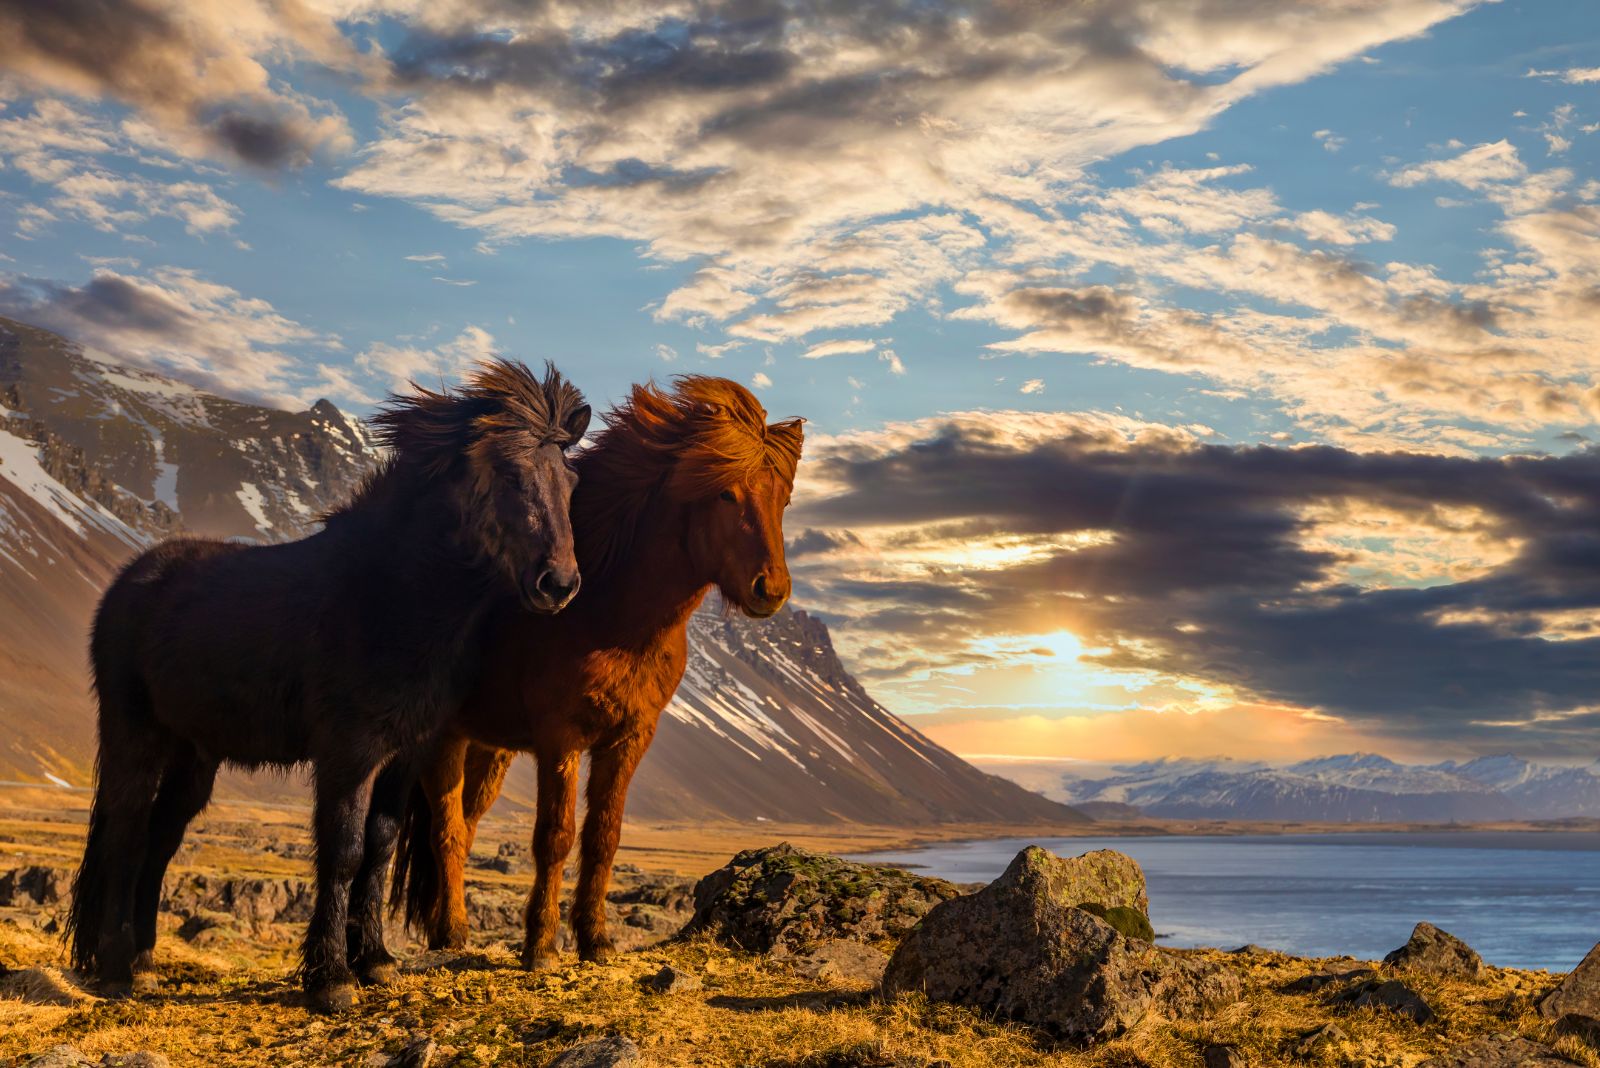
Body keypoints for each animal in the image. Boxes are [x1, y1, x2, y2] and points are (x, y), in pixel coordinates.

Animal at [65, 358, 588, 1010]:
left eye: (570, 483)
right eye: (511, 475)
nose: (559, 585)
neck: (391, 598)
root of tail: (129, 583)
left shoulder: (405, 753)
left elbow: (380, 847)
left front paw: (377, 961)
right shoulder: (349, 752)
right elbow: (343, 852)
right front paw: (332, 977)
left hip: (194, 755)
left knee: (159, 841)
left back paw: (143, 964)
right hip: (134, 733)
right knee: (127, 833)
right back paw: (116, 968)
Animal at [385, 377, 806, 965]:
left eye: (782, 499)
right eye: (725, 493)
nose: (772, 590)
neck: (612, 617)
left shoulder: (630, 737)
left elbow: (604, 836)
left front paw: (596, 940)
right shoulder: (560, 737)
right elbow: (555, 837)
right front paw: (541, 945)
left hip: (489, 749)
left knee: (464, 827)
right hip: (443, 738)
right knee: (443, 831)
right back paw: (452, 933)